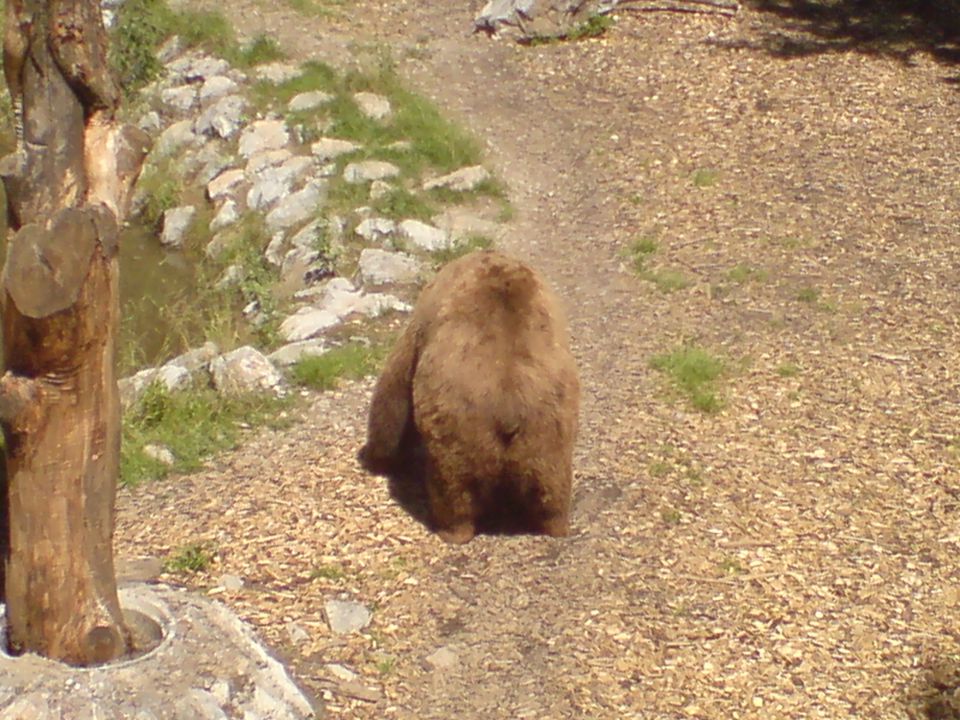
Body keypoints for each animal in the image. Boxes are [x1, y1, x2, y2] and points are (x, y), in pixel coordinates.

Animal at [358, 250, 576, 544]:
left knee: (454, 488)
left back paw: (451, 529)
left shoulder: (421, 324)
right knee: (552, 486)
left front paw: (378, 456)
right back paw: (556, 525)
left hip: (458, 431)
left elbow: (394, 390)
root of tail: (509, 411)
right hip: (549, 431)